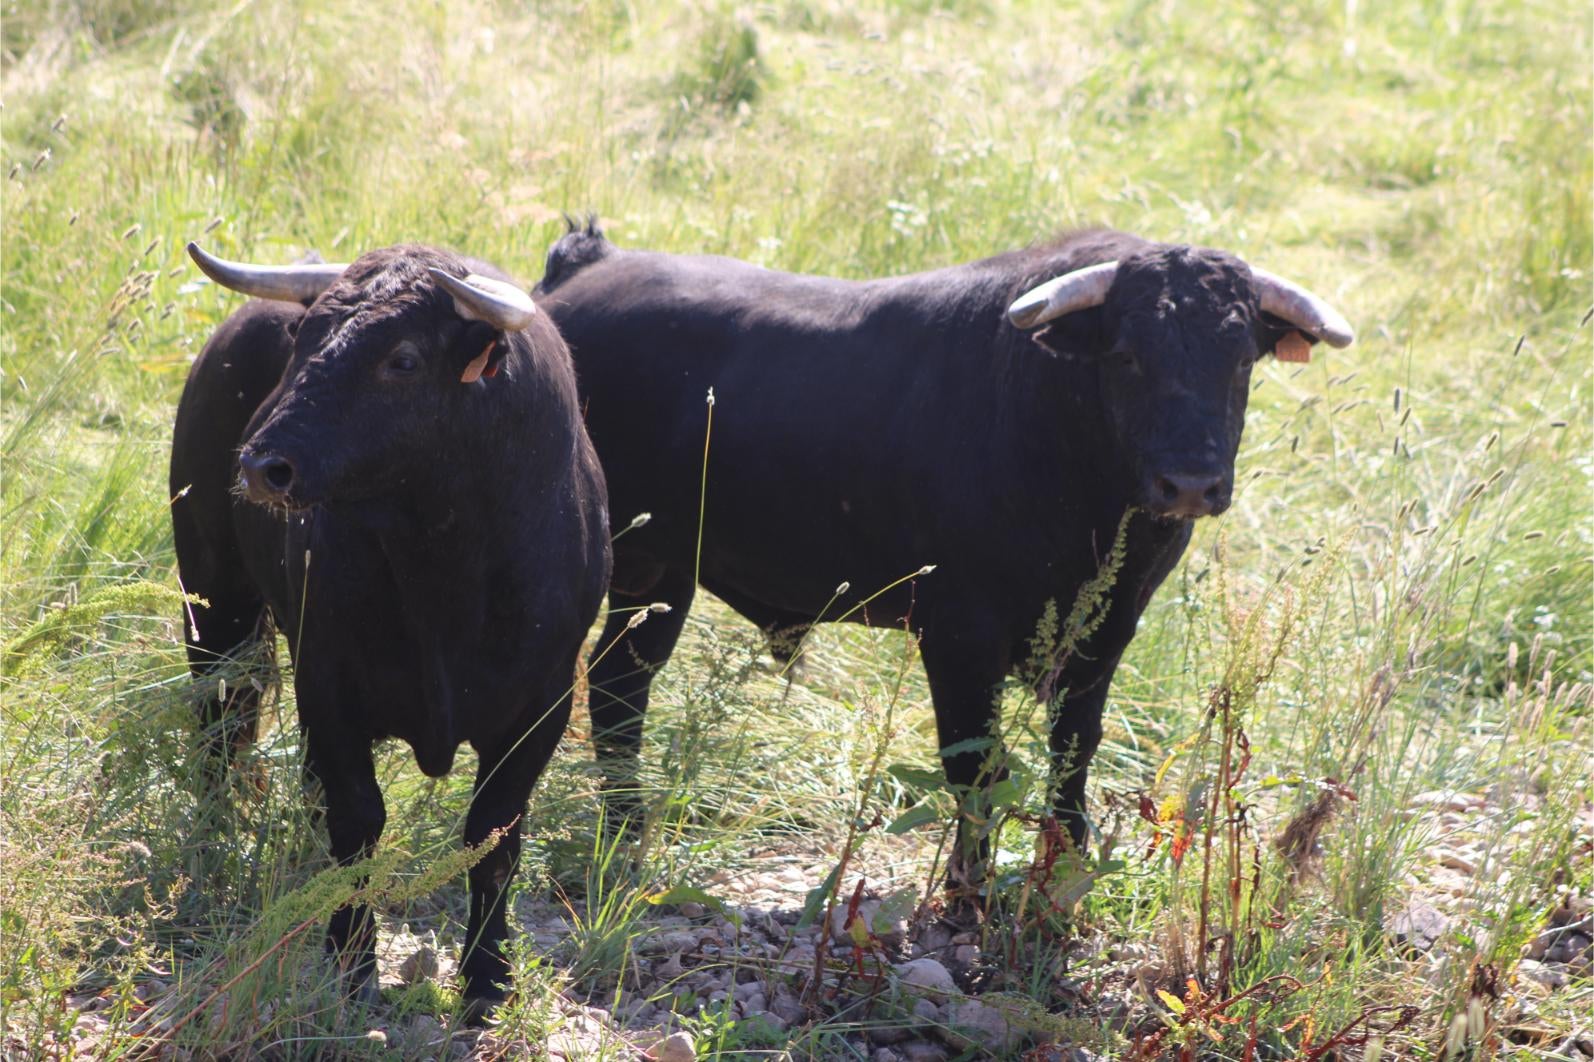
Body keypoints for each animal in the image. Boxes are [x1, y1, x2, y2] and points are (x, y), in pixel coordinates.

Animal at [171, 243, 608, 1007]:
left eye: (402, 358)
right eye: (305, 338)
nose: (260, 466)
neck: (446, 570)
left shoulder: (542, 706)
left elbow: (493, 835)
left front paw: (487, 978)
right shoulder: (330, 688)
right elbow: (356, 824)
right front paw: (351, 965)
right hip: (214, 606)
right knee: (220, 732)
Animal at [541, 218, 1351, 867]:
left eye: (1240, 359)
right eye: (1127, 356)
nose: (1190, 482)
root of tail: (584, 271)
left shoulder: (1105, 633)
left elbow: (1073, 752)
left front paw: (1060, 871)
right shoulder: (960, 636)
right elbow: (976, 765)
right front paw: (972, 889)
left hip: (661, 575)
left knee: (619, 689)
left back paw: (626, 831)